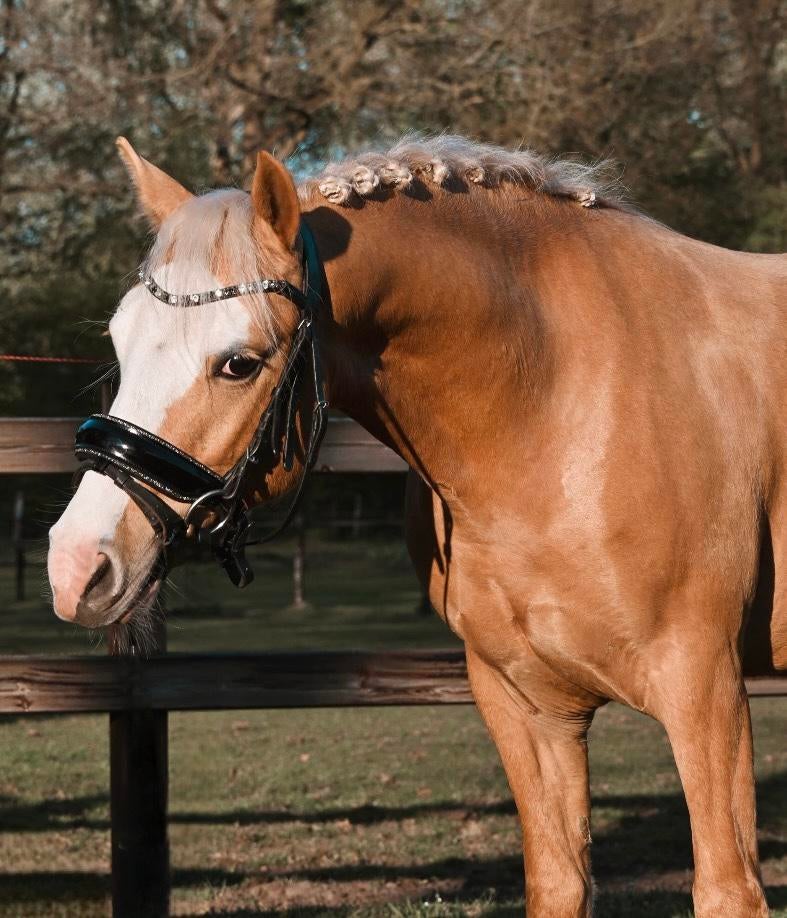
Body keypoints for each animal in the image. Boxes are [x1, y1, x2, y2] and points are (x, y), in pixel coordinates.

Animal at [47, 134, 786, 917]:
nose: (75, 565)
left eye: (239, 363)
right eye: (121, 341)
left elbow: (726, 889)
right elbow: (558, 881)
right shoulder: (527, 705)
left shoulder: (703, 691)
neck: (558, 398)